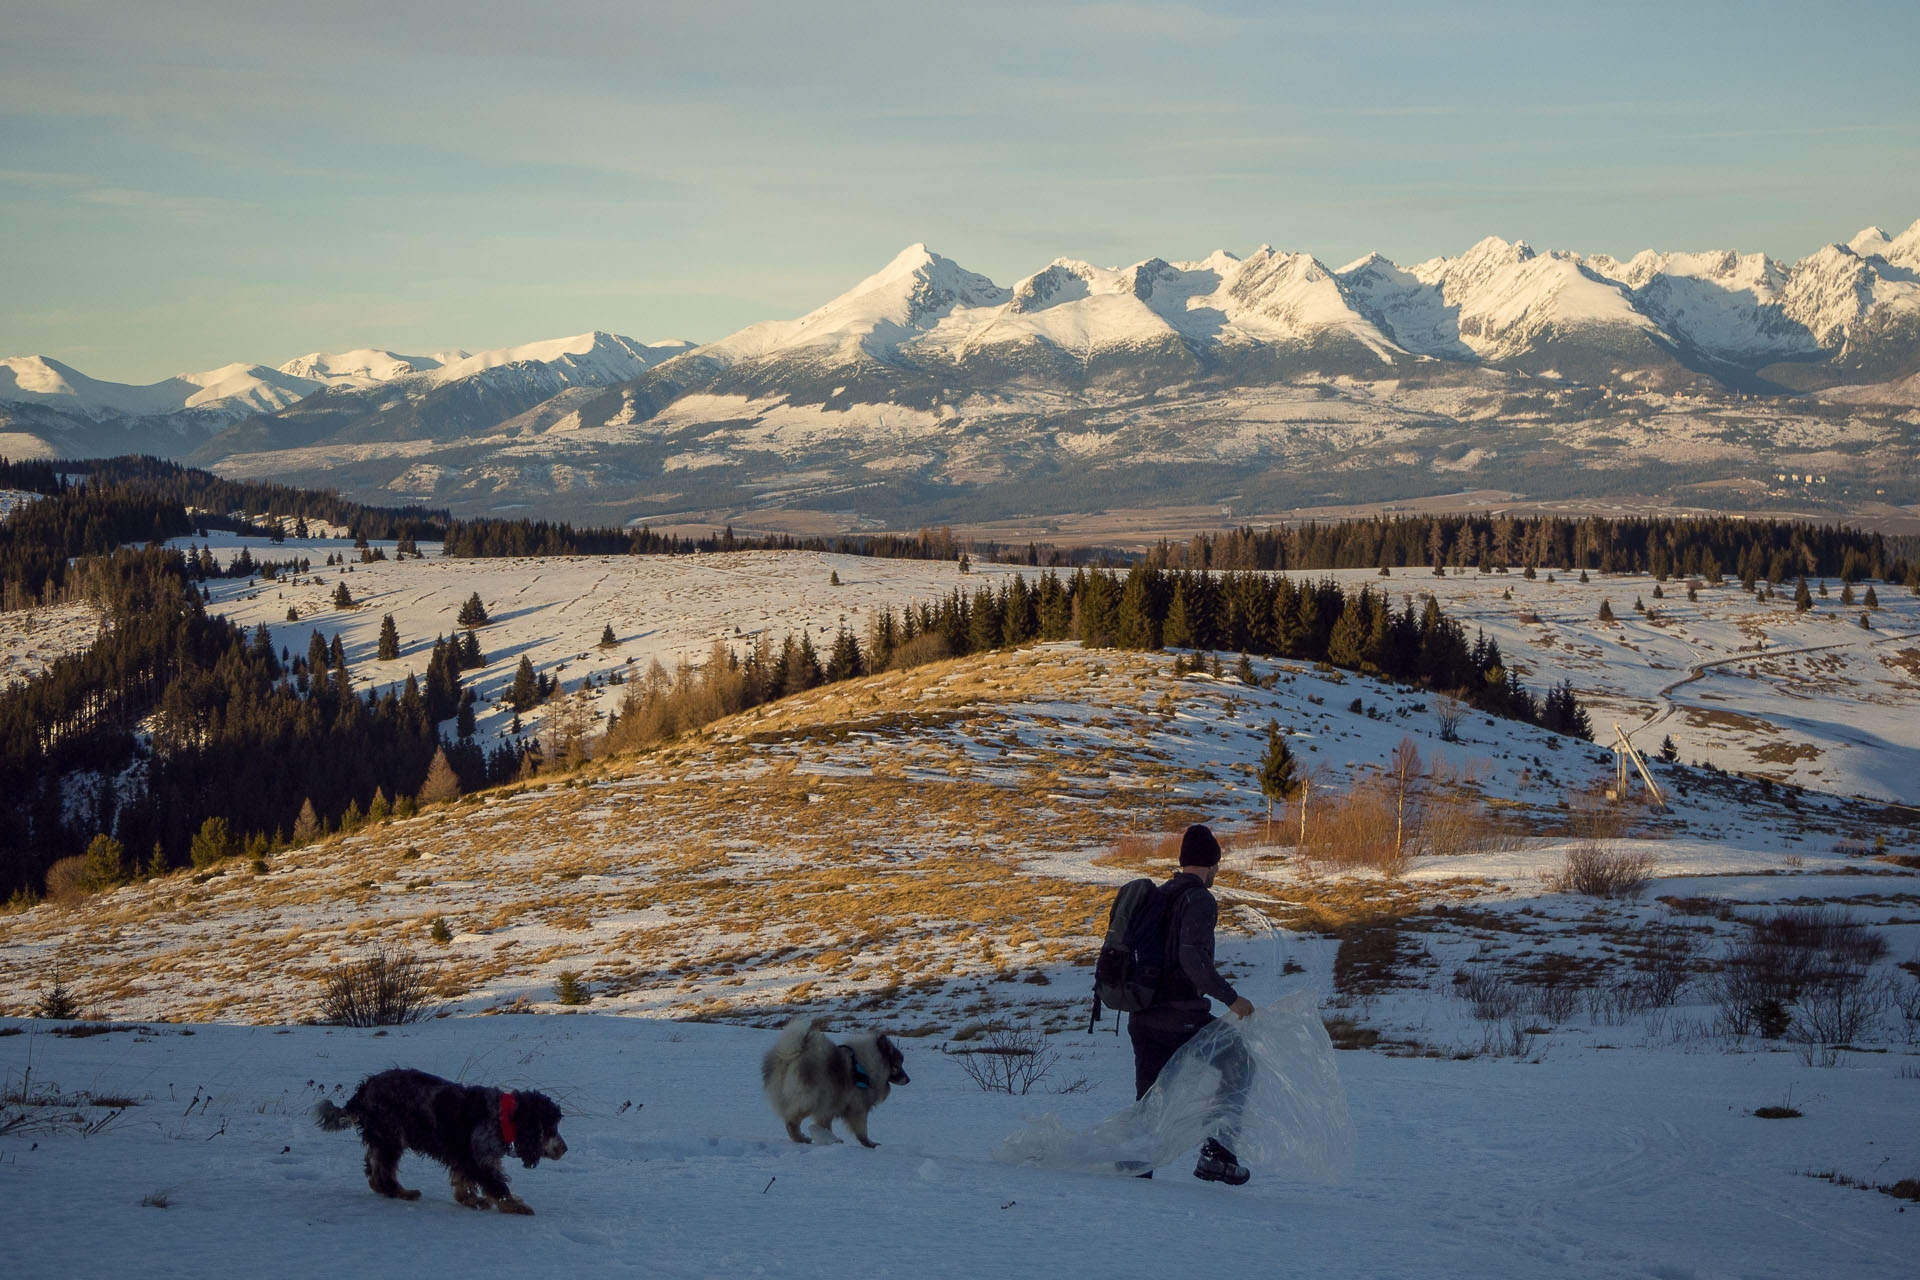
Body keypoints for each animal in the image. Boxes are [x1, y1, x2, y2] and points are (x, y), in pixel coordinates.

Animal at [314, 1066, 564, 1220]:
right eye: (550, 1127)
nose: (565, 1148)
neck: (502, 1116)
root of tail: (364, 1089)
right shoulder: (477, 1158)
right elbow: (498, 1186)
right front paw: (516, 1206)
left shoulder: (464, 1155)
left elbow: (463, 1183)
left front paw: (471, 1200)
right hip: (391, 1136)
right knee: (383, 1171)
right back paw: (402, 1192)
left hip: (382, 1137)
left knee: (373, 1169)